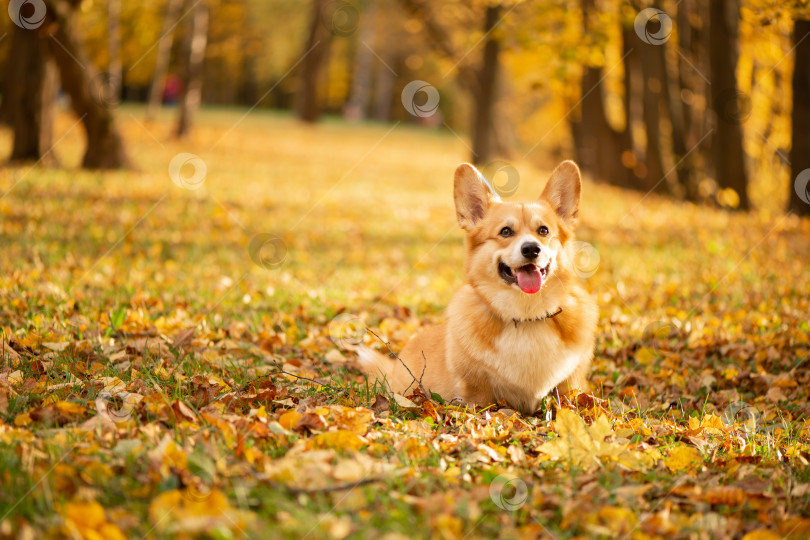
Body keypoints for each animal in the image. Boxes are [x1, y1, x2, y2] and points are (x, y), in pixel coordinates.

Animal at [356, 160, 596, 414]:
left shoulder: (571, 383)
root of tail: (394, 366)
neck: (526, 315)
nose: (531, 249)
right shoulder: (476, 386)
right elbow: (483, 403)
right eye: (505, 231)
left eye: (544, 231)